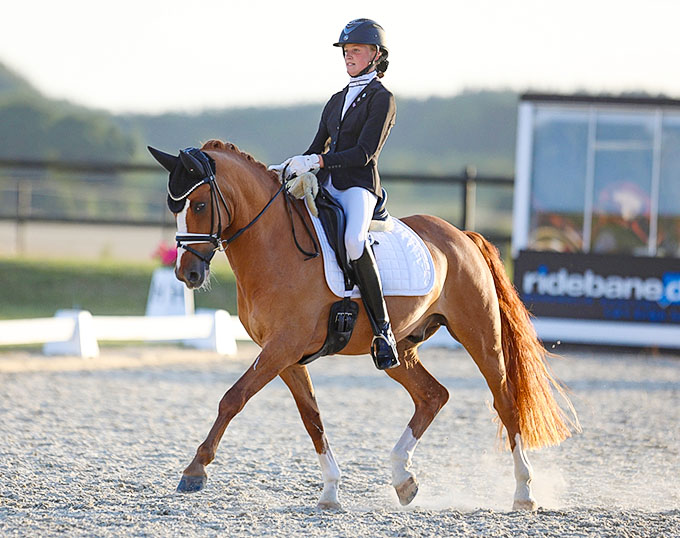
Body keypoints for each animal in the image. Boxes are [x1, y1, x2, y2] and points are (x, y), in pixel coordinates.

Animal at [148, 140, 578, 511]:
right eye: (174, 207)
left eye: (199, 204)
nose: (186, 273)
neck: (274, 246)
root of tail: (462, 236)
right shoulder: (286, 356)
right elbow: (312, 418)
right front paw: (330, 492)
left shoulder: (281, 348)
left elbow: (233, 398)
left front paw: (195, 470)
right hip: (399, 348)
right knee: (432, 395)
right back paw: (403, 480)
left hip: (480, 335)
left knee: (505, 401)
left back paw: (524, 493)